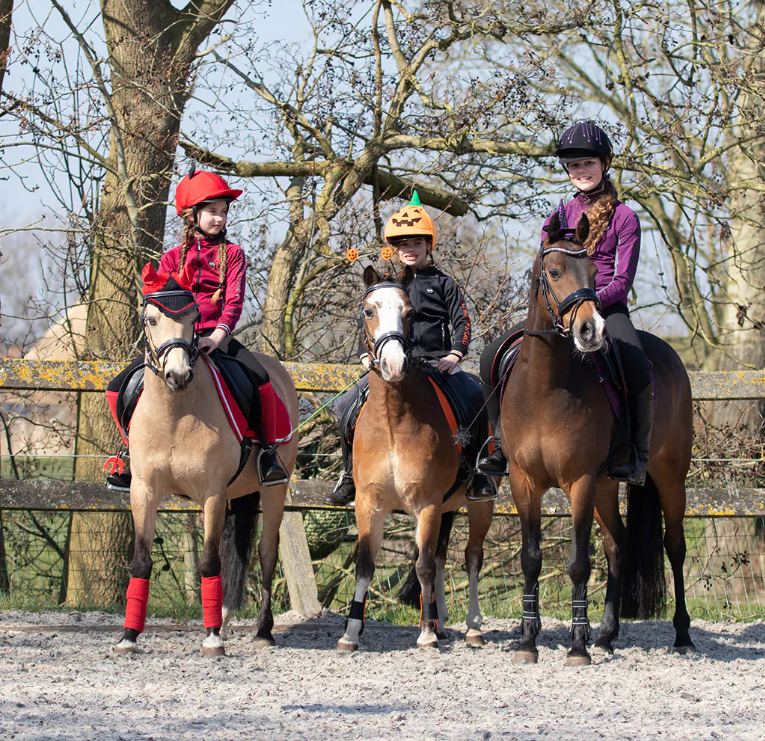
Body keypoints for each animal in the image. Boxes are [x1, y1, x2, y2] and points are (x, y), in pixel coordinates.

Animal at [113, 280, 298, 656]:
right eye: (151, 320)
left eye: (194, 318)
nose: (178, 375)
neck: (174, 413)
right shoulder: (144, 491)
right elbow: (141, 560)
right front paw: (129, 636)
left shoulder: (212, 494)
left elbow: (210, 560)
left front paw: (211, 638)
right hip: (239, 492)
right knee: (237, 550)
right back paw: (224, 620)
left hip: (273, 490)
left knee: (266, 553)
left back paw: (262, 631)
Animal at [336, 268, 492, 652]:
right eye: (368, 311)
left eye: (410, 313)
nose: (393, 364)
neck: (393, 421)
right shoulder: (369, 504)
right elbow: (365, 565)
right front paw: (350, 634)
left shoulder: (427, 504)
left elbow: (422, 566)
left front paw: (425, 635)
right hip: (448, 506)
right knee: (440, 556)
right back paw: (441, 623)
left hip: (479, 504)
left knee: (471, 558)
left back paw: (472, 628)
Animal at [502, 212, 692, 664]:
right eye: (554, 272)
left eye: (593, 272)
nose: (591, 330)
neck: (545, 388)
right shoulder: (524, 481)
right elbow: (531, 559)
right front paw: (528, 641)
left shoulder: (580, 482)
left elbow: (578, 563)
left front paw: (576, 646)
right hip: (607, 486)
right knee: (618, 545)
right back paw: (606, 634)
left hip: (669, 477)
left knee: (674, 546)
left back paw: (682, 634)